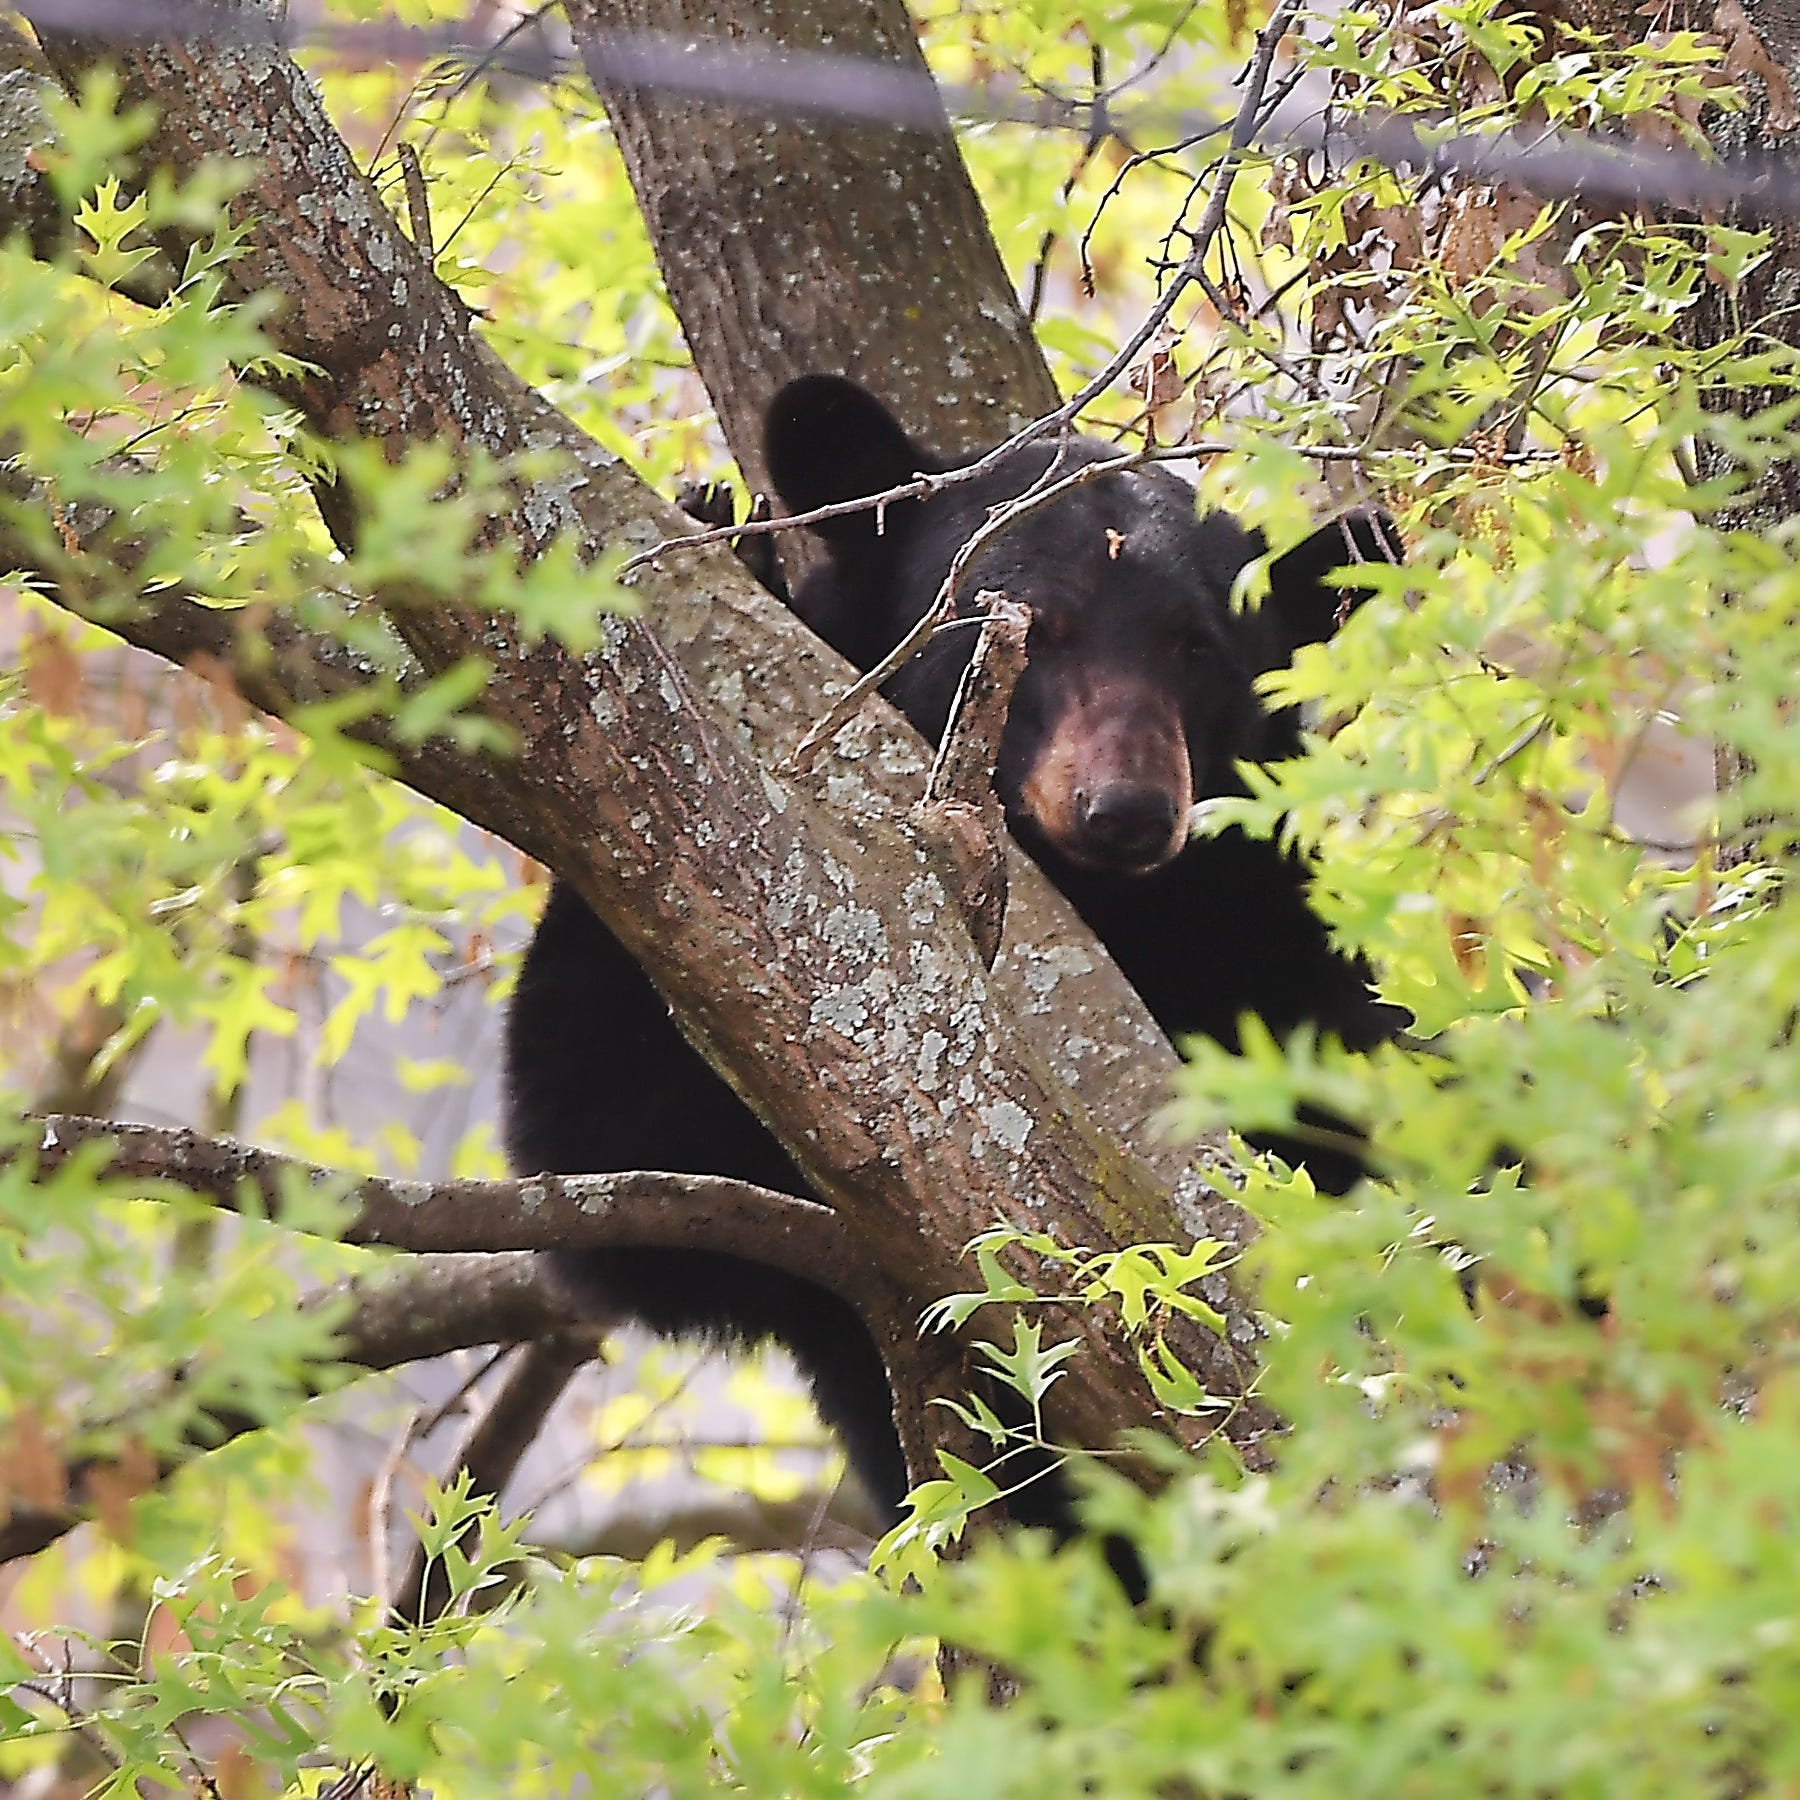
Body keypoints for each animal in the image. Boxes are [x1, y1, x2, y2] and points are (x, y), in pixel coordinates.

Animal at [503, 373, 1402, 1564]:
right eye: (1023, 624)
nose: (1127, 810)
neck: (1118, 914)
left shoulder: (1274, 945)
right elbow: (604, 1144)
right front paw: (727, 538)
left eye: (1197, 648)